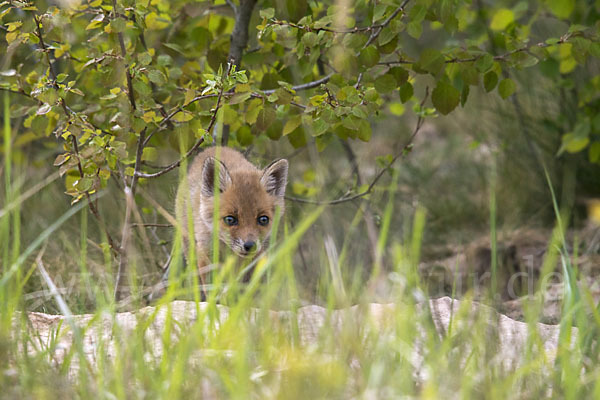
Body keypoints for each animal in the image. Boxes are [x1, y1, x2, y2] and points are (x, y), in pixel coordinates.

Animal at [173, 147, 288, 288]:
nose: (250, 245)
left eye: (263, 220)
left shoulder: (255, 258)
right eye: (230, 219)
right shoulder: (205, 254)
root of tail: (213, 148)